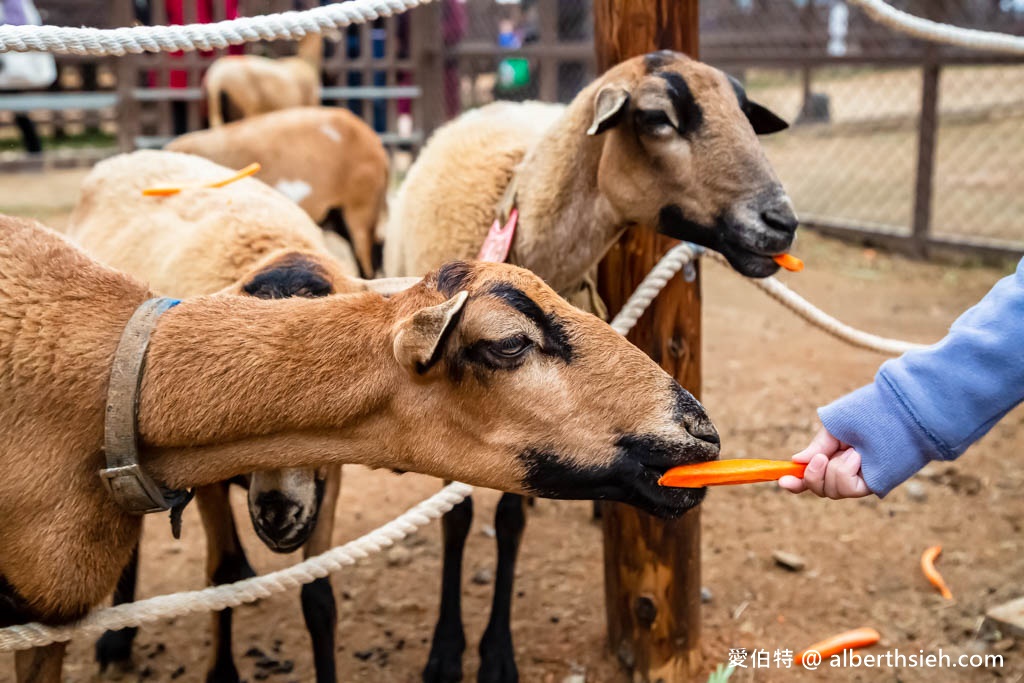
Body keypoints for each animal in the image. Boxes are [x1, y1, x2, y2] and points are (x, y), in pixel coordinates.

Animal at [385, 50, 790, 679]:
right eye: (657, 119)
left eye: (746, 112)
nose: (781, 222)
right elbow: (456, 520)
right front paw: (446, 651)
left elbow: (510, 521)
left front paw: (497, 653)